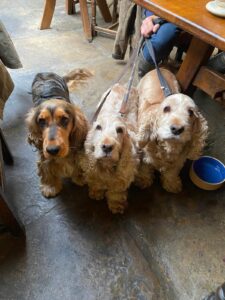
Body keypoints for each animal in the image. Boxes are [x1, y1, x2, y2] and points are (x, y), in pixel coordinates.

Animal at [25, 69, 90, 198]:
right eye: (41, 121)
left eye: (64, 119)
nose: (53, 150)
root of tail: (44, 72)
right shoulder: (44, 154)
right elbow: (46, 168)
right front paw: (50, 186)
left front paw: (80, 177)